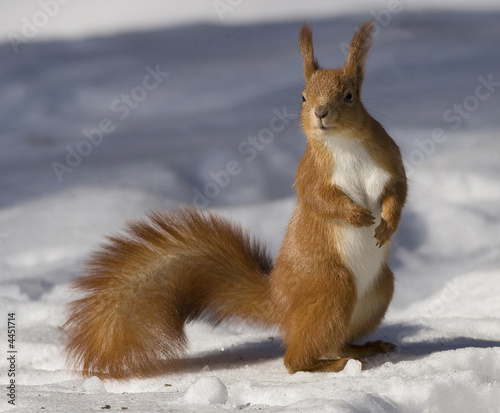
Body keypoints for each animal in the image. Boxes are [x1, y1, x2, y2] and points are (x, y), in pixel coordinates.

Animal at [63, 20, 406, 380]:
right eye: (302, 96)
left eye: (350, 96)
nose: (320, 113)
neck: (344, 144)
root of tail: (279, 301)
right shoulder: (310, 174)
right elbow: (317, 199)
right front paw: (355, 215)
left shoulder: (389, 163)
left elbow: (397, 193)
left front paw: (386, 225)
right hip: (332, 288)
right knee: (295, 360)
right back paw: (332, 364)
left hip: (378, 291)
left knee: (336, 341)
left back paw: (364, 348)